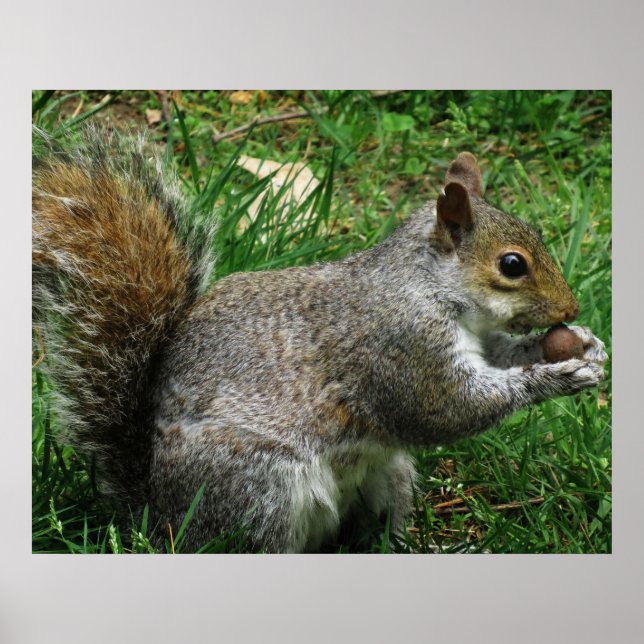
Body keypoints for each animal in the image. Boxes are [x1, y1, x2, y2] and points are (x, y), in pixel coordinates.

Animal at [32, 128, 608, 553]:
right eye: (512, 264)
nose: (571, 310)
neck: (427, 286)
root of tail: (159, 517)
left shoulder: (479, 345)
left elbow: (503, 357)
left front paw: (578, 345)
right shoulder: (400, 346)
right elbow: (442, 412)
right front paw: (555, 377)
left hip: (387, 476)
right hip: (257, 486)